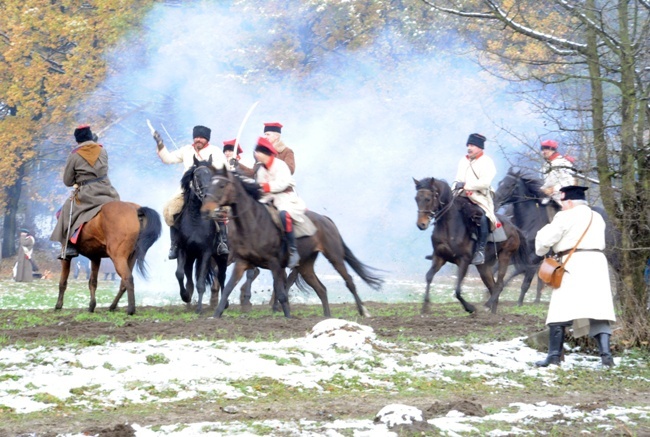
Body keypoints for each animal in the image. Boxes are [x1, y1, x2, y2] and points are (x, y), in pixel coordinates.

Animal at [176, 157, 229, 314]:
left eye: (212, 177)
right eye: (197, 176)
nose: (206, 196)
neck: (195, 220)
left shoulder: (205, 253)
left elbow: (201, 281)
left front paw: (199, 309)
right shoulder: (183, 250)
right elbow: (179, 273)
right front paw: (185, 296)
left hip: (221, 257)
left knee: (221, 276)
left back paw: (224, 303)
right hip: (191, 257)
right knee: (188, 275)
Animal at [196, 167, 380, 316]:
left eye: (222, 185)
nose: (206, 210)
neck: (253, 224)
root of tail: (326, 220)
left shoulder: (274, 263)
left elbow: (282, 293)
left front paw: (286, 317)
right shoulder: (242, 262)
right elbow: (228, 288)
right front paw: (216, 314)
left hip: (334, 256)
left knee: (349, 281)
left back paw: (363, 312)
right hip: (305, 266)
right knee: (321, 289)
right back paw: (328, 317)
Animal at [416, 176, 528, 314]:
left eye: (428, 198)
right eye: (416, 198)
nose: (421, 224)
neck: (449, 226)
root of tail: (514, 228)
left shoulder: (463, 261)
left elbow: (458, 290)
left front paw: (470, 308)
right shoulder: (439, 257)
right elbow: (429, 277)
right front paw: (425, 306)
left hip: (505, 256)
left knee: (499, 285)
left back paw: (486, 306)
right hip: (483, 266)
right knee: (492, 286)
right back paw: (492, 313)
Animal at [492, 167, 616, 304]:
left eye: (511, 185)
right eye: (500, 183)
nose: (495, 203)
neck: (532, 220)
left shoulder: (534, 258)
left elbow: (523, 280)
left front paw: (516, 302)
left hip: (612, 254)